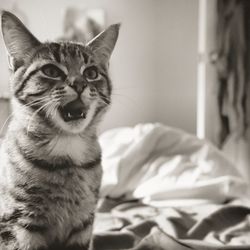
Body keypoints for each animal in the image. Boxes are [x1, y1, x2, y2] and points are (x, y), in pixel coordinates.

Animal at [0, 10, 120, 250]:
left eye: (92, 73)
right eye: (51, 71)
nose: (80, 84)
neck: (67, 147)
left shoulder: (83, 223)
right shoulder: (20, 223)